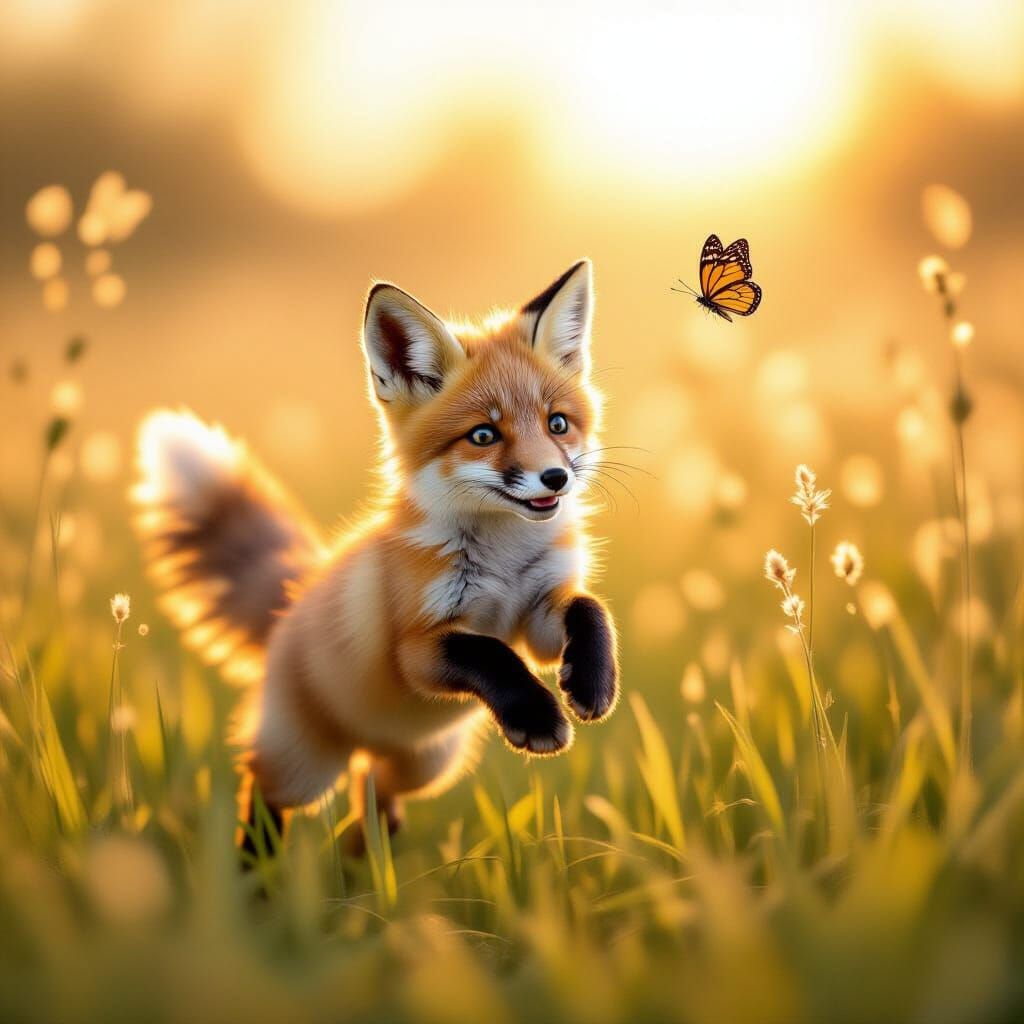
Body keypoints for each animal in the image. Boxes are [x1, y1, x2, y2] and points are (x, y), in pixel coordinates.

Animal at [132, 260, 619, 854]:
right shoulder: (416, 648)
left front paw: (592, 684)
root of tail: (291, 604)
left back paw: (362, 854)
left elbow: (589, 611)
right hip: (304, 768)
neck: (502, 562)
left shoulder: (539, 614)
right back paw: (259, 872)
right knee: (267, 793)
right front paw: (537, 714)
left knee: (373, 792)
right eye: (483, 435)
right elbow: (491, 653)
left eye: (558, 424)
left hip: (429, 764)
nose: (555, 477)